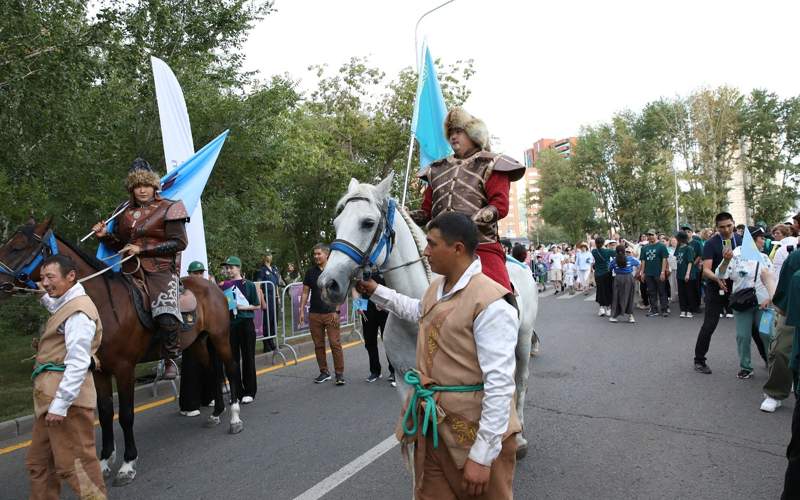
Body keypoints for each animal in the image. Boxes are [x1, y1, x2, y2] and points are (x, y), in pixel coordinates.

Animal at [0, 218, 242, 484]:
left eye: (18, 247)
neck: (103, 305)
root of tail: (214, 287)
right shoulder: (99, 370)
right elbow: (106, 414)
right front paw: (105, 460)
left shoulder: (124, 368)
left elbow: (126, 415)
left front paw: (127, 463)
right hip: (198, 343)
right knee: (213, 372)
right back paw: (216, 413)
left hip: (220, 337)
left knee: (230, 368)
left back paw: (235, 417)